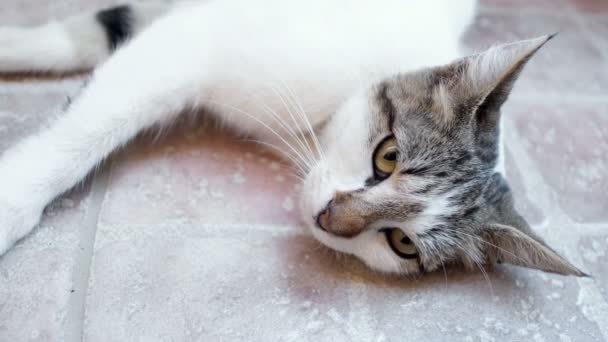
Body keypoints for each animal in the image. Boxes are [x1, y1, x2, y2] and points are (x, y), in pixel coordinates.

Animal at [0, 0, 588, 276]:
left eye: (403, 244)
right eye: (388, 155)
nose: (330, 218)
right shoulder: (202, 39)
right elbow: (90, 123)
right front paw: (14, 200)